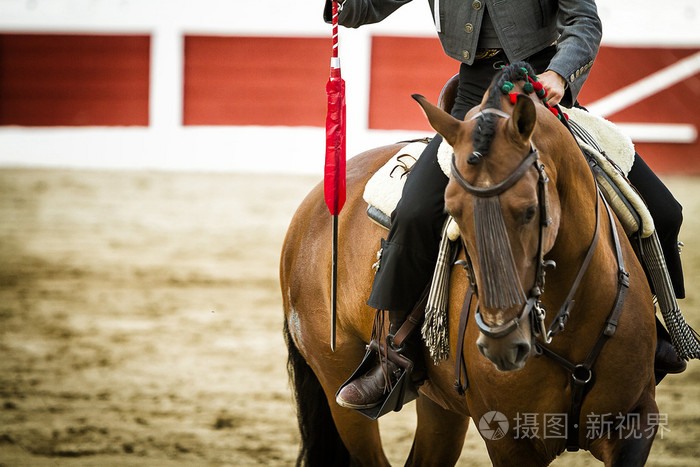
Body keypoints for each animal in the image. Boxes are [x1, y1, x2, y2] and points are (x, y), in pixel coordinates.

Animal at [282, 64, 660, 466]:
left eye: (530, 210)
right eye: (453, 210)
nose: (501, 342)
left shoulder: (635, 420)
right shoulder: (510, 439)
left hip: (441, 404)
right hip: (335, 376)